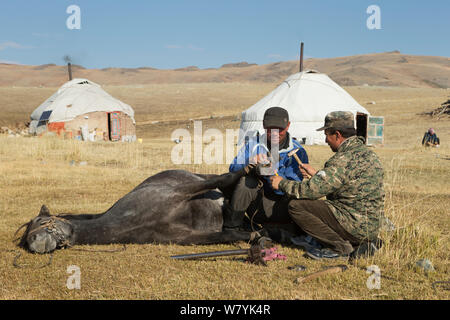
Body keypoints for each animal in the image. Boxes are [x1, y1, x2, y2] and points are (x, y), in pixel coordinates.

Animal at [17, 168, 264, 255]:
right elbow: (227, 235)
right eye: (25, 240)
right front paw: (256, 236)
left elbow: (224, 177)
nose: (34, 243)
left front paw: (250, 169)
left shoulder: (179, 192)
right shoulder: (187, 237)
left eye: (40, 220)